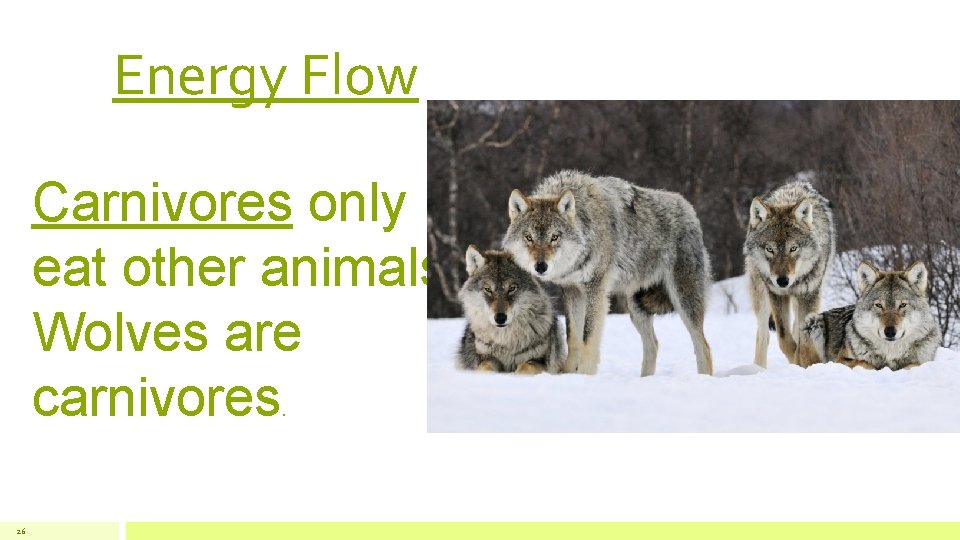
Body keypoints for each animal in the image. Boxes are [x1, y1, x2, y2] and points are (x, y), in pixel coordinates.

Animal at [456, 246, 565, 375]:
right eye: (488, 289)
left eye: (512, 288)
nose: (500, 318)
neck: (506, 341)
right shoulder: (485, 358)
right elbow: (485, 368)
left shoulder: (540, 361)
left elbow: (525, 368)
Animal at [502, 170, 713, 376]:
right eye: (529, 237)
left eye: (554, 237)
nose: (540, 266)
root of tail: (689, 208)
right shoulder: (571, 290)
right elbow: (573, 337)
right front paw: (568, 373)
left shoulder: (595, 289)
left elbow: (587, 338)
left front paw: (585, 375)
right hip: (636, 307)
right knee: (653, 344)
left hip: (683, 300)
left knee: (703, 346)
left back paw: (703, 378)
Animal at [743, 181, 836, 367]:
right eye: (769, 249)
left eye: (793, 248)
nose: (782, 281)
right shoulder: (776, 295)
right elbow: (784, 337)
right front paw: (795, 359)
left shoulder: (809, 295)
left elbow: (801, 336)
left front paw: (802, 361)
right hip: (761, 296)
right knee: (763, 335)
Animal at [798, 261, 941, 370]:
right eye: (879, 305)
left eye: (902, 305)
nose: (890, 332)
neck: (890, 353)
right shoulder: (840, 359)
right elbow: (864, 362)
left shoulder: (922, 362)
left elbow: (914, 364)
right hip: (813, 322)